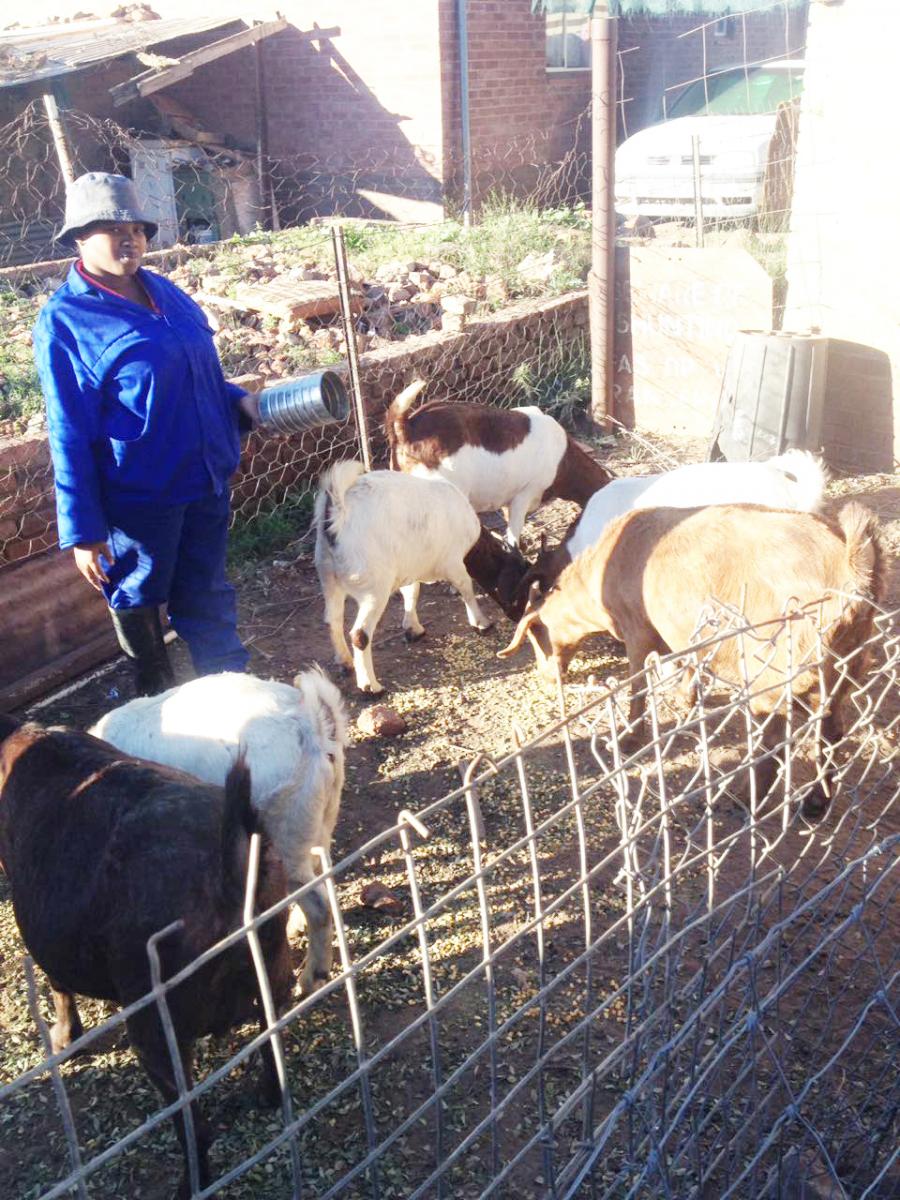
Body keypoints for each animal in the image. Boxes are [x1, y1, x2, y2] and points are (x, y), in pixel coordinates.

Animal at [314, 458, 528, 691]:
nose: (520, 617)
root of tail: (338, 513)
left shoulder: (410, 568)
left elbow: (412, 592)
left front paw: (413, 629)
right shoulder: (453, 563)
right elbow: (466, 588)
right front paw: (482, 623)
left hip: (329, 579)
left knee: (332, 620)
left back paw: (345, 662)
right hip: (374, 588)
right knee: (360, 635)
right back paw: (371, 687)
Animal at [501, 501, 888, 820]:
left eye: (535, 635)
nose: (548, 678)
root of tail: (851, 570)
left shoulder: (637, 630)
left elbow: (638, 685)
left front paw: (628, 739)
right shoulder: (686, 630)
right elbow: (690, 661)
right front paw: (685, 699)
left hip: (772, 675)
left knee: (775, 745)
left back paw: (743, 801)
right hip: (843, 669)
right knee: (831, 733)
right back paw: (815, 803)